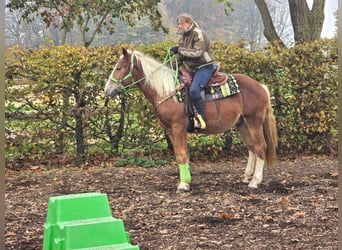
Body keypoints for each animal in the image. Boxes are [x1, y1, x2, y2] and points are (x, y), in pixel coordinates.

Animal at [105, 48, 278, 192]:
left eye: (119, 68)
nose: (108, 90)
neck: (168, 91)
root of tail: (261, 87)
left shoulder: (178, 127)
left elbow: (181, 154)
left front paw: (183, 184)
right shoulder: (170, 130)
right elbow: (180, 154)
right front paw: (186, 181)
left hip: (254, 121)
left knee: (260, 146)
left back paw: (255, 181)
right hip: (242, 123)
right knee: (252, 147)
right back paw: (247, 177)